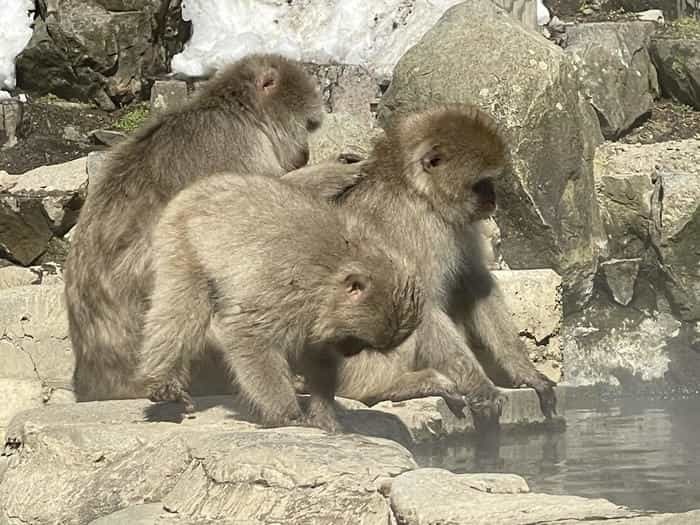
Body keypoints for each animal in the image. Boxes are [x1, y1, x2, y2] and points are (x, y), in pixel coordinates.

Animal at [64, 53, 360, 402]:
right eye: (309, 125)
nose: (304, 154)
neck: (241, 113)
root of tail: (99, 379)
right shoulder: (237, 143)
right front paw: (335, 171)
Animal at [135, 174, 448, 432]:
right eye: (356, 340)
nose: (351, 351)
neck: (333, 275)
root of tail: (203, 184)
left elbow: (320, 355)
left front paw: (323, 415)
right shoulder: (286, 292)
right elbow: (248, 335)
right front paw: (288, 415)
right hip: (180, 237)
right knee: (183, 304)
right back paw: (163, 379)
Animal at [292, 104, 556, 424]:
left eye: (489, 182)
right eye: (481, 184)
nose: (493, 200)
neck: (417, 192)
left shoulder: (457, 226)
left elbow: (475, 283)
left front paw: (524, 370)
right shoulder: (414, 227)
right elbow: (423, 303)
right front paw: (480, 386)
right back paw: (387, 387)